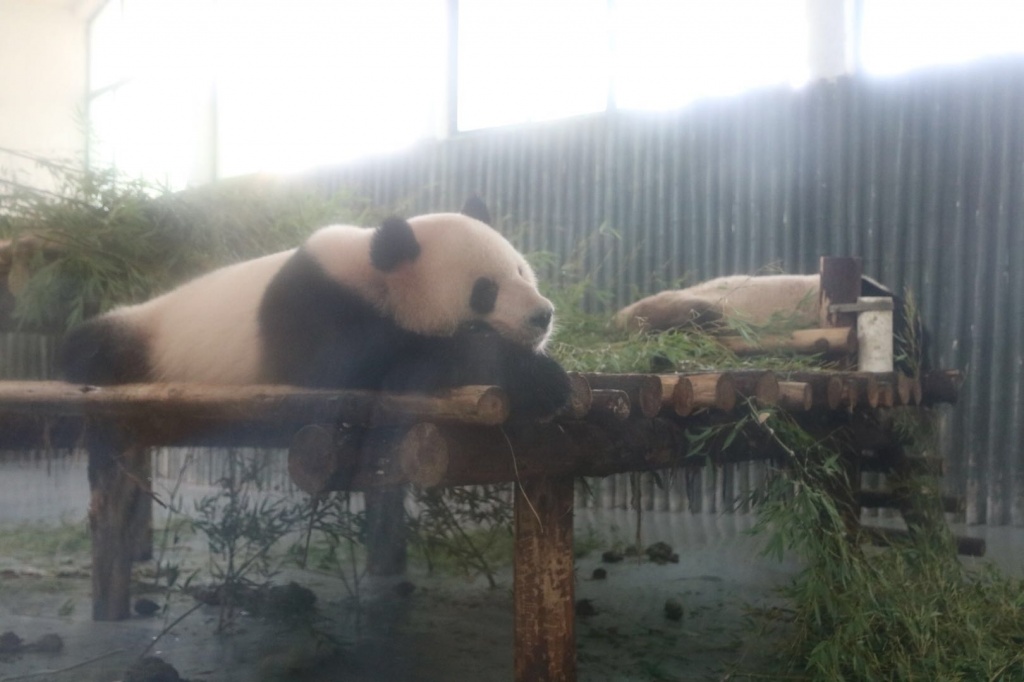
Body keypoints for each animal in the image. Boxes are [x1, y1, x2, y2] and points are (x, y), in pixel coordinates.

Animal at [59, 199, 573, 417]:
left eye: (521, 271)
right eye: (485, 291)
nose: (542, 315)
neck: (374, 272)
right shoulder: (315, 305)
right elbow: (383, 363)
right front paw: (542, 378)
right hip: (148, 332)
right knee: (91, 345)